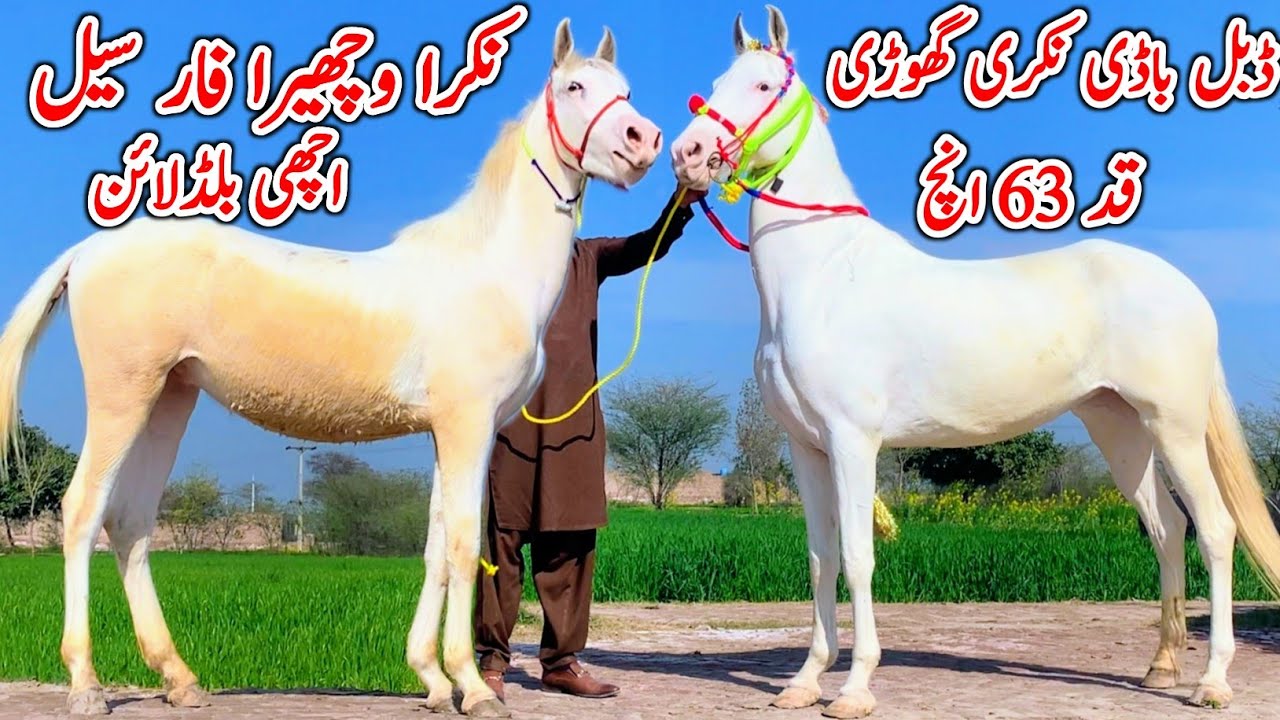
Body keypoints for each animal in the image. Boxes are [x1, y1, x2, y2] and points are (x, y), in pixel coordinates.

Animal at [0, 18, 660, 718]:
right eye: (574, 87)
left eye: (624, 89)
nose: (644, 140)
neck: (489, 268)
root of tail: (88, 250)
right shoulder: (467, 426)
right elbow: (462, 545)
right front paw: (474, 687)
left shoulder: (445, 433)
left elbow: (433, 548)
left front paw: (431, 679)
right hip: (123, 396)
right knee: (82, 512)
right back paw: (86, 684)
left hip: (169, 399)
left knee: (129, 523)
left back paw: (180, 680)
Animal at [670, 6, 1280, 718]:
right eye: (718, 82)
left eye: (764, 85)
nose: (686, 154)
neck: (820, 275)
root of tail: (1186, 289)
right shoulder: (807, 448)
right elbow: (821, 559)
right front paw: (803, 681)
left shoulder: (852, 442)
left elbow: (857, 556)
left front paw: (854, 688)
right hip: (1120, 429)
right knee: (1166, 527)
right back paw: (1160, 669)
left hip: (1176, 427)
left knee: (1213, 529)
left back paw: (1212, 681)